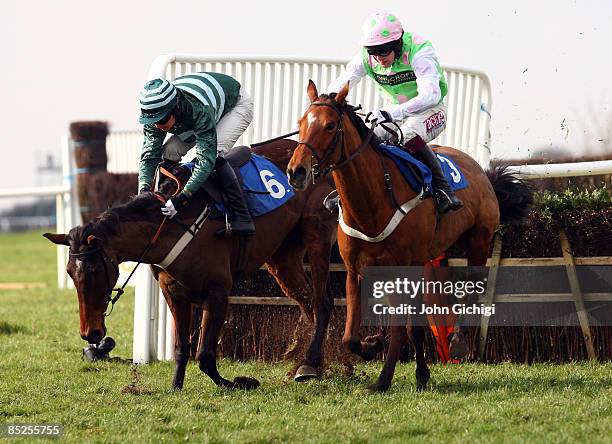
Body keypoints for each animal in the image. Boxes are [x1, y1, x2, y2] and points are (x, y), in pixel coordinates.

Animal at [45, 140, 338, 390]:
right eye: (70, 273)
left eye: (95, 271)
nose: (90, 333)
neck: (172, 225)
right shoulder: (175, 294)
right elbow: (182, 347)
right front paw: (175, 387)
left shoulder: (217, 291)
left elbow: (205, 355)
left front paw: (238, 383)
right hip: (283, 259)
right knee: (308, 305)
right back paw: (312, 363)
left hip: (317, 236)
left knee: (322, 302)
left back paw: (309, 365)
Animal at [286, 80, 532, 392]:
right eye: (301, 123)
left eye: (330, 126)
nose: (296, 171)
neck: (373, 200)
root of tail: (481, 170)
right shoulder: (355, 268)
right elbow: (350, 337)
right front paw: (373, 347)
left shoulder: (406, 267)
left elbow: (408, 327)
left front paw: (392, 377)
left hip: (479, 239)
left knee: (471, 289)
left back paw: (458, 341)